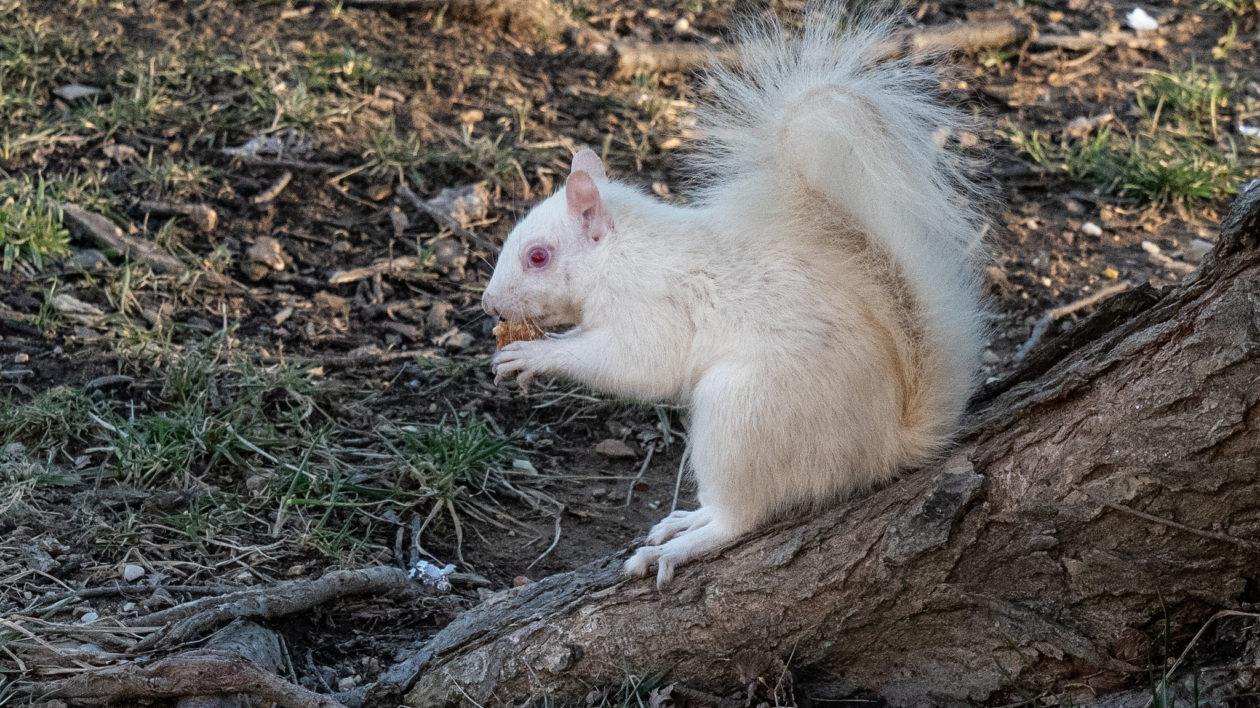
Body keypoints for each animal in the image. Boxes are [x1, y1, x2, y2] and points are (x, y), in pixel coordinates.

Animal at [478, 15, 982, 584]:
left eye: (538, 256)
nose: (489, 304)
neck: (619, 255)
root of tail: (883, 448)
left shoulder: (651, 308)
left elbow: (635, 365)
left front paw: (535, 354)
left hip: (743, 411)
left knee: (740, 517)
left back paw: (683, 544)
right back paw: (685, 520)